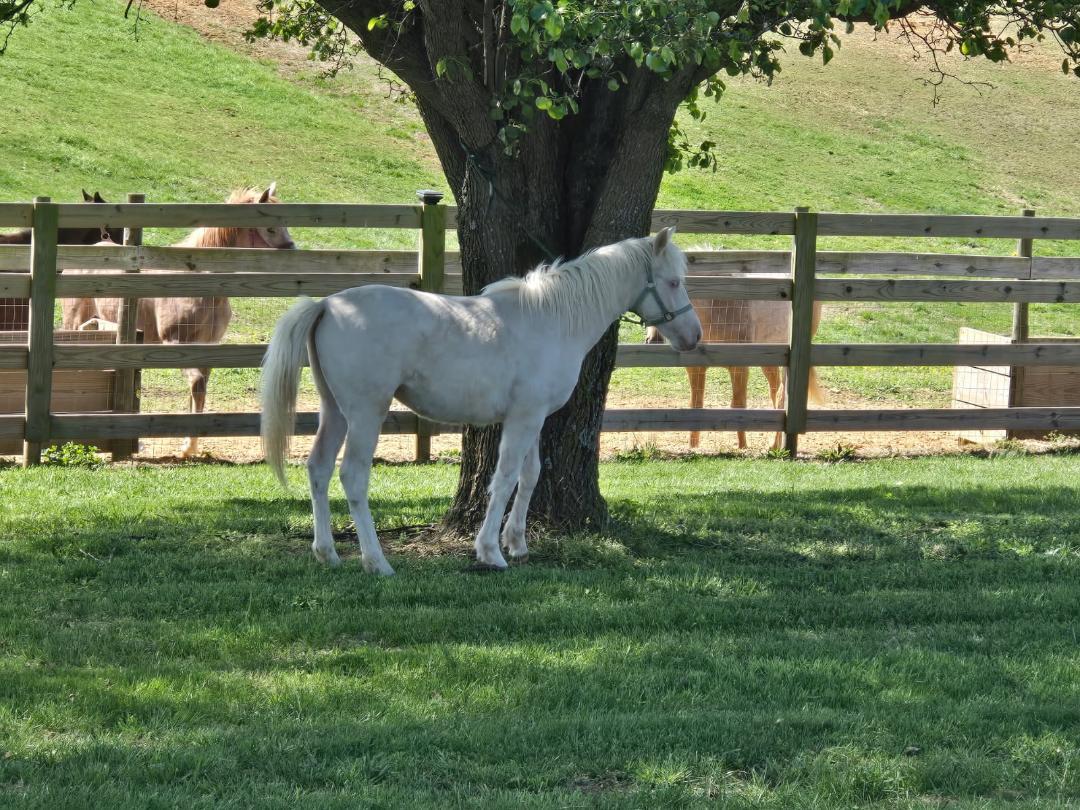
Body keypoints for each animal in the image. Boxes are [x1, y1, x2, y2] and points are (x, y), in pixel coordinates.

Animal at [63, 184, 296, 457]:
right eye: (270, 228)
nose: (293, 254)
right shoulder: (176, 344)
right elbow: (196, 384)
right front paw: (188, 447)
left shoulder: (207, 348)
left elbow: (200, 390)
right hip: (73, 324)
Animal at [261, 227, 701, 575]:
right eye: (673, 282)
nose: (694, 336)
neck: (552, 320)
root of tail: (327, 304)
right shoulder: (523, 419)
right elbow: (504, 478)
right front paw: (490, 551)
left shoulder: (533, 418)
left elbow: (530, 475)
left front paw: (517, 544)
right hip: (366, 413)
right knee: (352, 475)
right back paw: (377, 561)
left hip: (334, 411)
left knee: (318, 469)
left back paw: (327, 553)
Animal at [647, 295, 824, 450]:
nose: (653, 340)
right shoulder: (696, 368)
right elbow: (696, 406)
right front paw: (693, 447)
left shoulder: (739, 366)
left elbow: (738, 405)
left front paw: (742, 447)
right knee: (775, 393)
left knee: (781, 395)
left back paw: (773, 445)